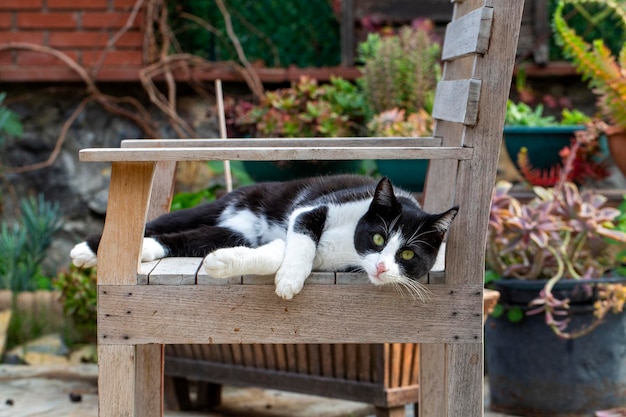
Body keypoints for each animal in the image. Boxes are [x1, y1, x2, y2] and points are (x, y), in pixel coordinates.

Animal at [70, 175, 456, 300]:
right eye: (377, 239)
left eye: (408, 256)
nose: (380, 268)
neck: (350, 243)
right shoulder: (312, 210)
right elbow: (302, 238)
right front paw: (289, 280)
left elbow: (277, 253)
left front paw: (223, 262)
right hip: (234, 201)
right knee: (165, 222)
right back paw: (87, 250)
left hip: (233, 229)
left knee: (192, 237)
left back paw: (150, 249)